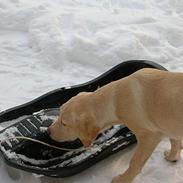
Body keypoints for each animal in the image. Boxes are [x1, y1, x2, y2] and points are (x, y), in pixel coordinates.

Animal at [47, 68, 183, 182]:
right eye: (59, 113)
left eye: (64, 123)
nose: (48, 131)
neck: (115, 98)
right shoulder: (169, 125)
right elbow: (174, 141)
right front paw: (172, 156)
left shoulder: (149, 136)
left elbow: (135, 162)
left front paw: (123, 179)